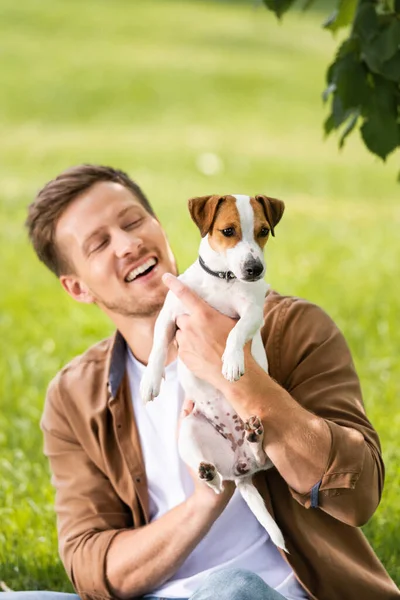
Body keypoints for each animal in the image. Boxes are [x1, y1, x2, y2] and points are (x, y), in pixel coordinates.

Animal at [139, 195, 286, 552]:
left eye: (264, 231)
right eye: (228, 231)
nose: (255, 269)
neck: (224, 279)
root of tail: (241, 467)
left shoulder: (252, 313)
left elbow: (235, 332)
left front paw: (231, 361)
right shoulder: (170, 314)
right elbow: (158, 347)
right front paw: (150, 381)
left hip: (264, 436)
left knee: (263, 457)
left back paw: (253, 438)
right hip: (191, 431)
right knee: (219, 484)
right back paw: (209, 472)